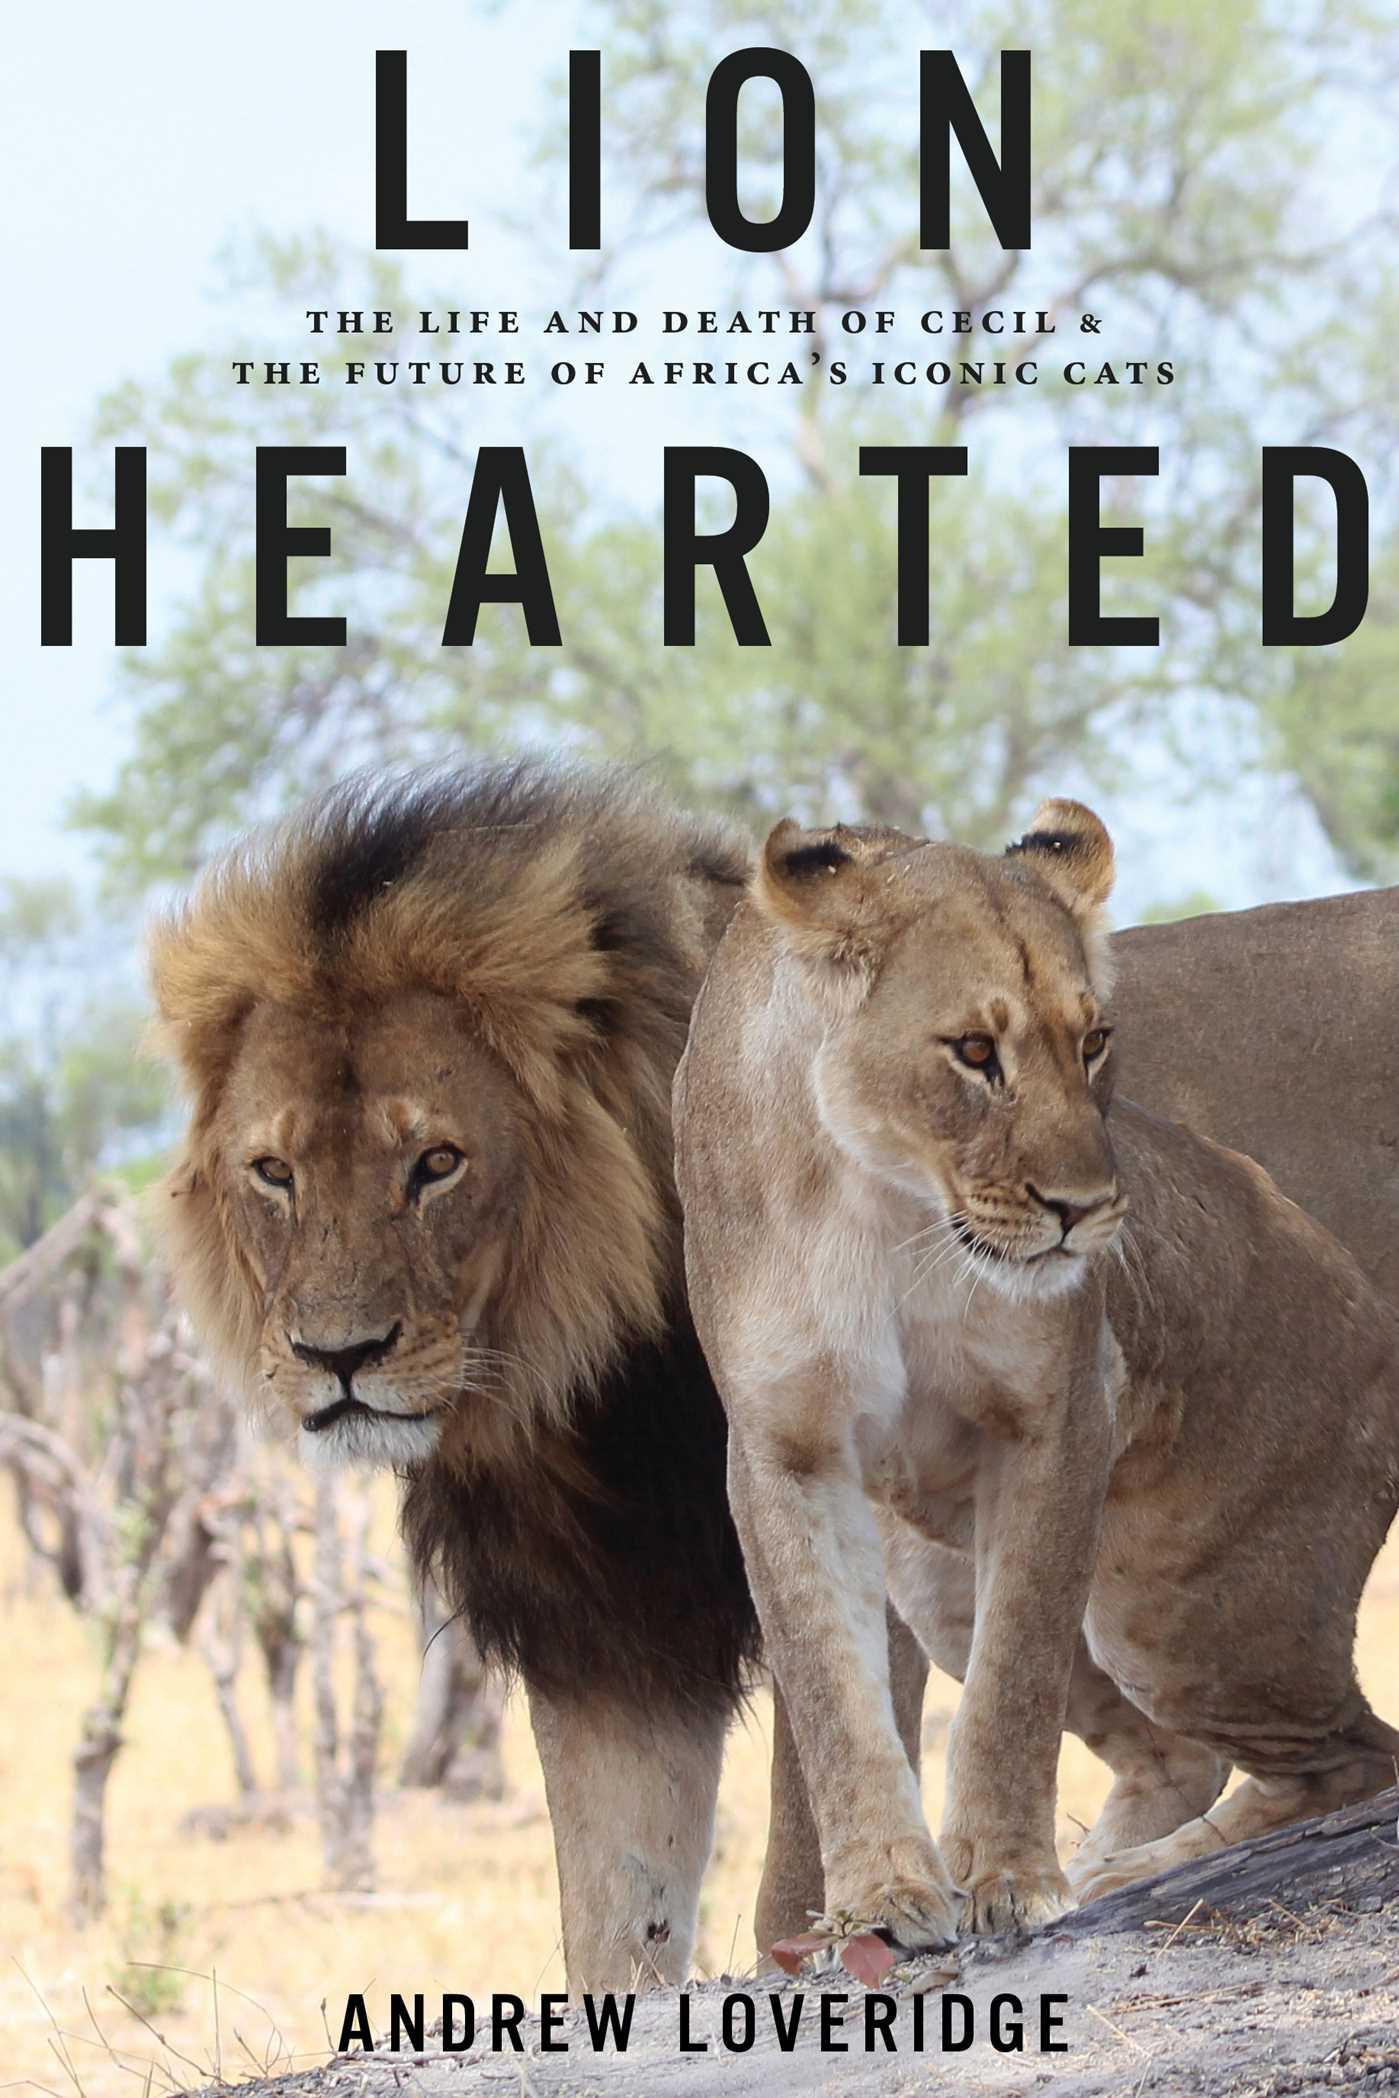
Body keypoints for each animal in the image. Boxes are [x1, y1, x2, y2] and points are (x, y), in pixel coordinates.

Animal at [674, 801, 1399, 1946]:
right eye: (975, 1051)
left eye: (1093, 1040)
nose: (1086, 1209)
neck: (888, 1207)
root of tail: (1367, 1301)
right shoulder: (785, 1445)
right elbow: (832, 1692)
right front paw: (884, 1893)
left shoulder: (1056, 1416)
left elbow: (1011, 1684)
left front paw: (1010, 1878)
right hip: (940, 1580)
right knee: (1184, 1752)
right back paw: (1112, 1862)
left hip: (1184, 1609)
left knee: (1356, 1754)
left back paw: (1123, 1875)